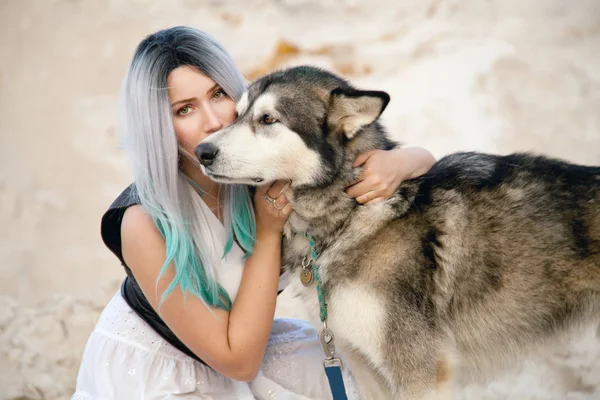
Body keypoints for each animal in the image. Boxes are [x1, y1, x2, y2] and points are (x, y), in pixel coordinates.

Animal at [197, 67, 600, 398]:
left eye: (268, 119)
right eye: (236, 115)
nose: (202, 150)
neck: (348, 219)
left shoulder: (419, 371)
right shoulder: (358, 361)